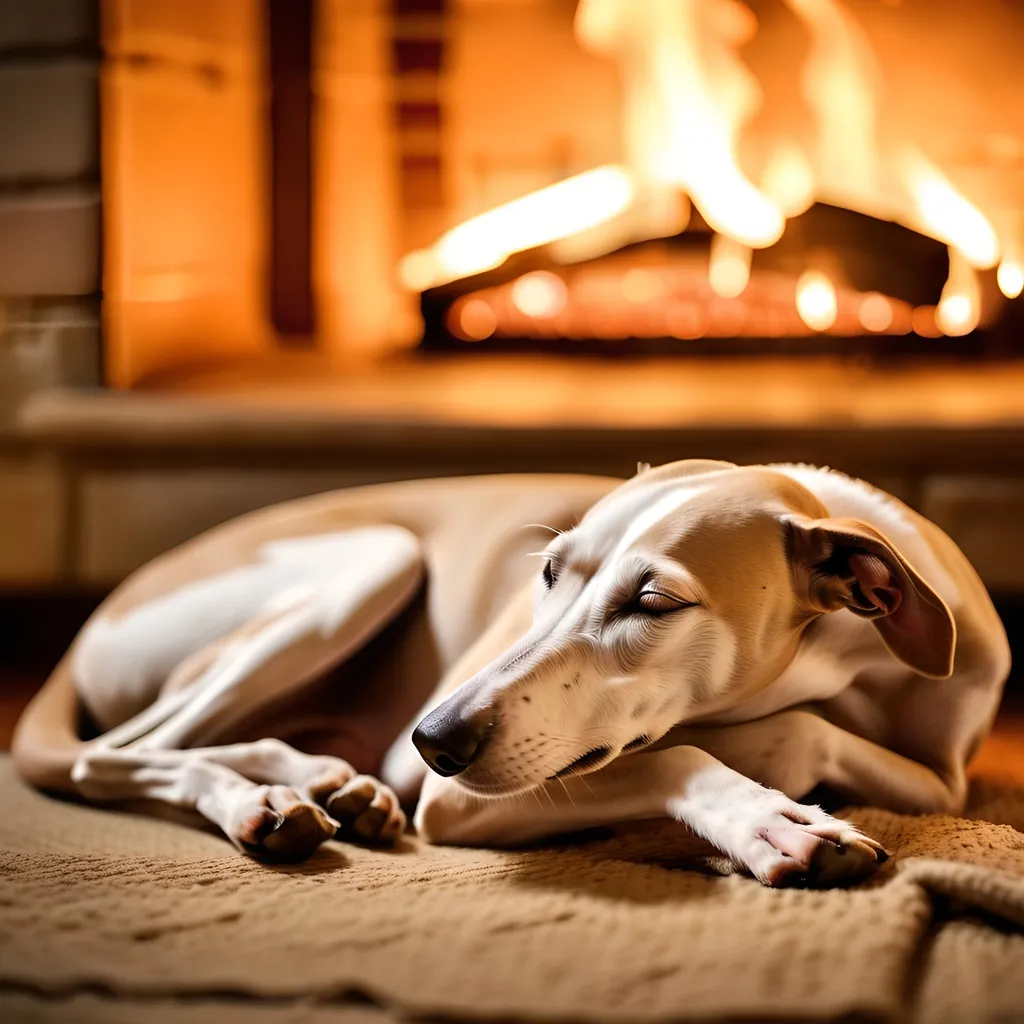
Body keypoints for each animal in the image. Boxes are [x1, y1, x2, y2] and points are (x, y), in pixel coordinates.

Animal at [12, 464, 1011, 888]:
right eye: (549, 570)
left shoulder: (947, 770)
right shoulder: (462, 799)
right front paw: (771, 819)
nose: (431, 738)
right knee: (115, 754)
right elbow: (674, 755)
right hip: (372, 560)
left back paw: (334, 784)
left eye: (653, 601)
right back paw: (265, 800)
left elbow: (839, 746)